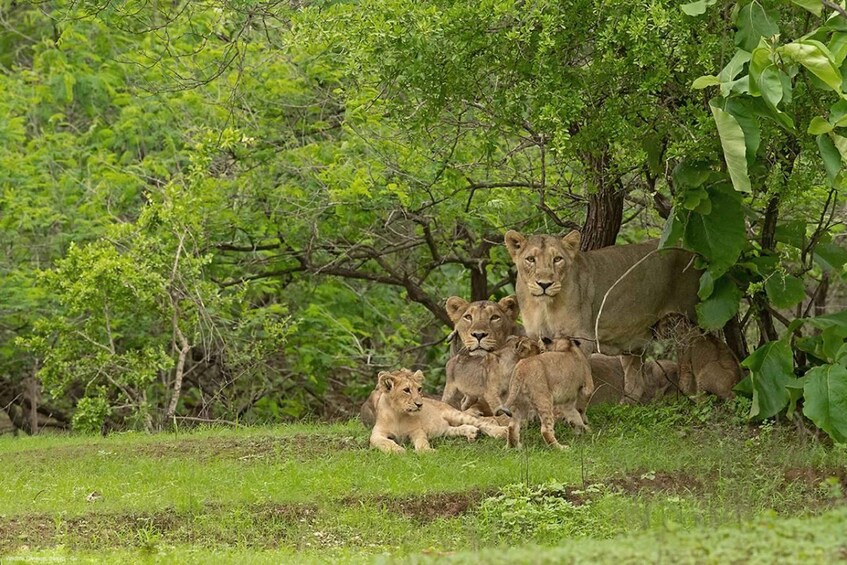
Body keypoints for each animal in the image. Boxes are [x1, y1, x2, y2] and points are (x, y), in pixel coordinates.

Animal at [369, 368, 509, 453]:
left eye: (419, 389)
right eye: (406, 390)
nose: (420, 404)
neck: (398, 414)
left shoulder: (416, 431)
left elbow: (422, 442)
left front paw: (427, 452)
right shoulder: (376, 434)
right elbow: (384, 442)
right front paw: (397, 450)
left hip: (455, 414)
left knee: (483, 422)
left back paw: (502, 432)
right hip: (445, 430)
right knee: (458, 428)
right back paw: (471, 432)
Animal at [504, 229, 700, 401]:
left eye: (557, 259)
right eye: (530, 259)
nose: (544, 284)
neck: (543, 306)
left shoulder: (581, 339)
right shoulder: (537, 338)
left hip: (690, 319)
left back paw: (690, 397)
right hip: (634, 341)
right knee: (636, 382)